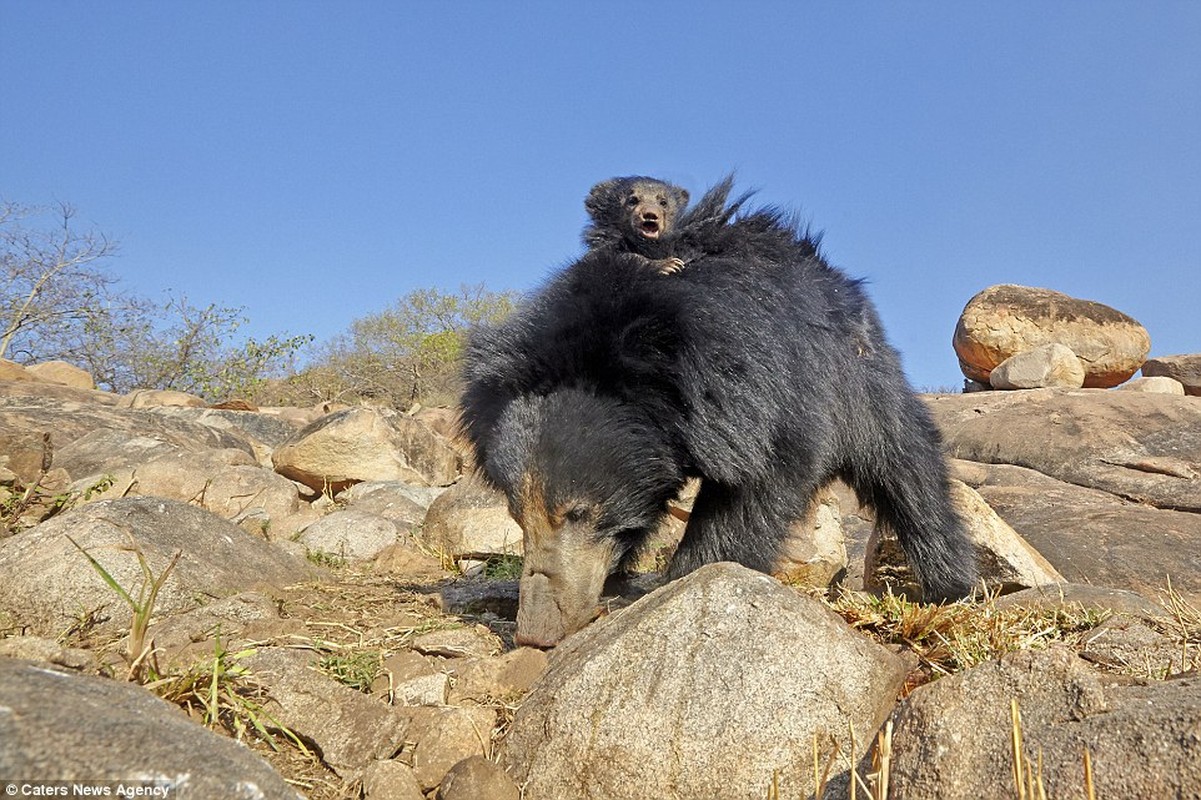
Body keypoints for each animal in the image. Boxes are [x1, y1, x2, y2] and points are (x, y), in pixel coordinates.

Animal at [456, 172, 975, 643]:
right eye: (517, 514)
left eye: (579, 512)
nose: (535, 632)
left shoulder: (773, 389)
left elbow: (764, 479)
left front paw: (680, 581)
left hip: (862, 379)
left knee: (906, 466)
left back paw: (951, 582)